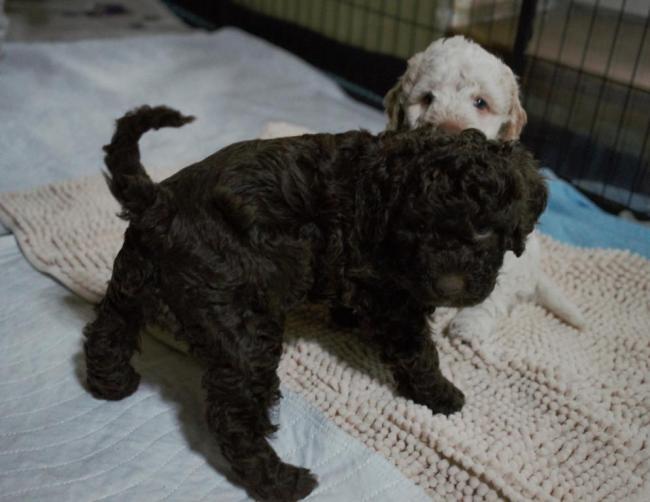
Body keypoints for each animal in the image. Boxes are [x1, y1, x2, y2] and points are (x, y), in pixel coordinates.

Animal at [83, 105, 544, 498]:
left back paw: (112, 384)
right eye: (416, 228)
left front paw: (345, 319)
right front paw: (442, 395)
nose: (448, 287)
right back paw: (283, 481)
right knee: (233, 412)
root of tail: (159, 205)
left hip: (132, 279)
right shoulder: (391, 295)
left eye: (485, 230)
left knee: (108, 328)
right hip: (243, 323)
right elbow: (417, 349)